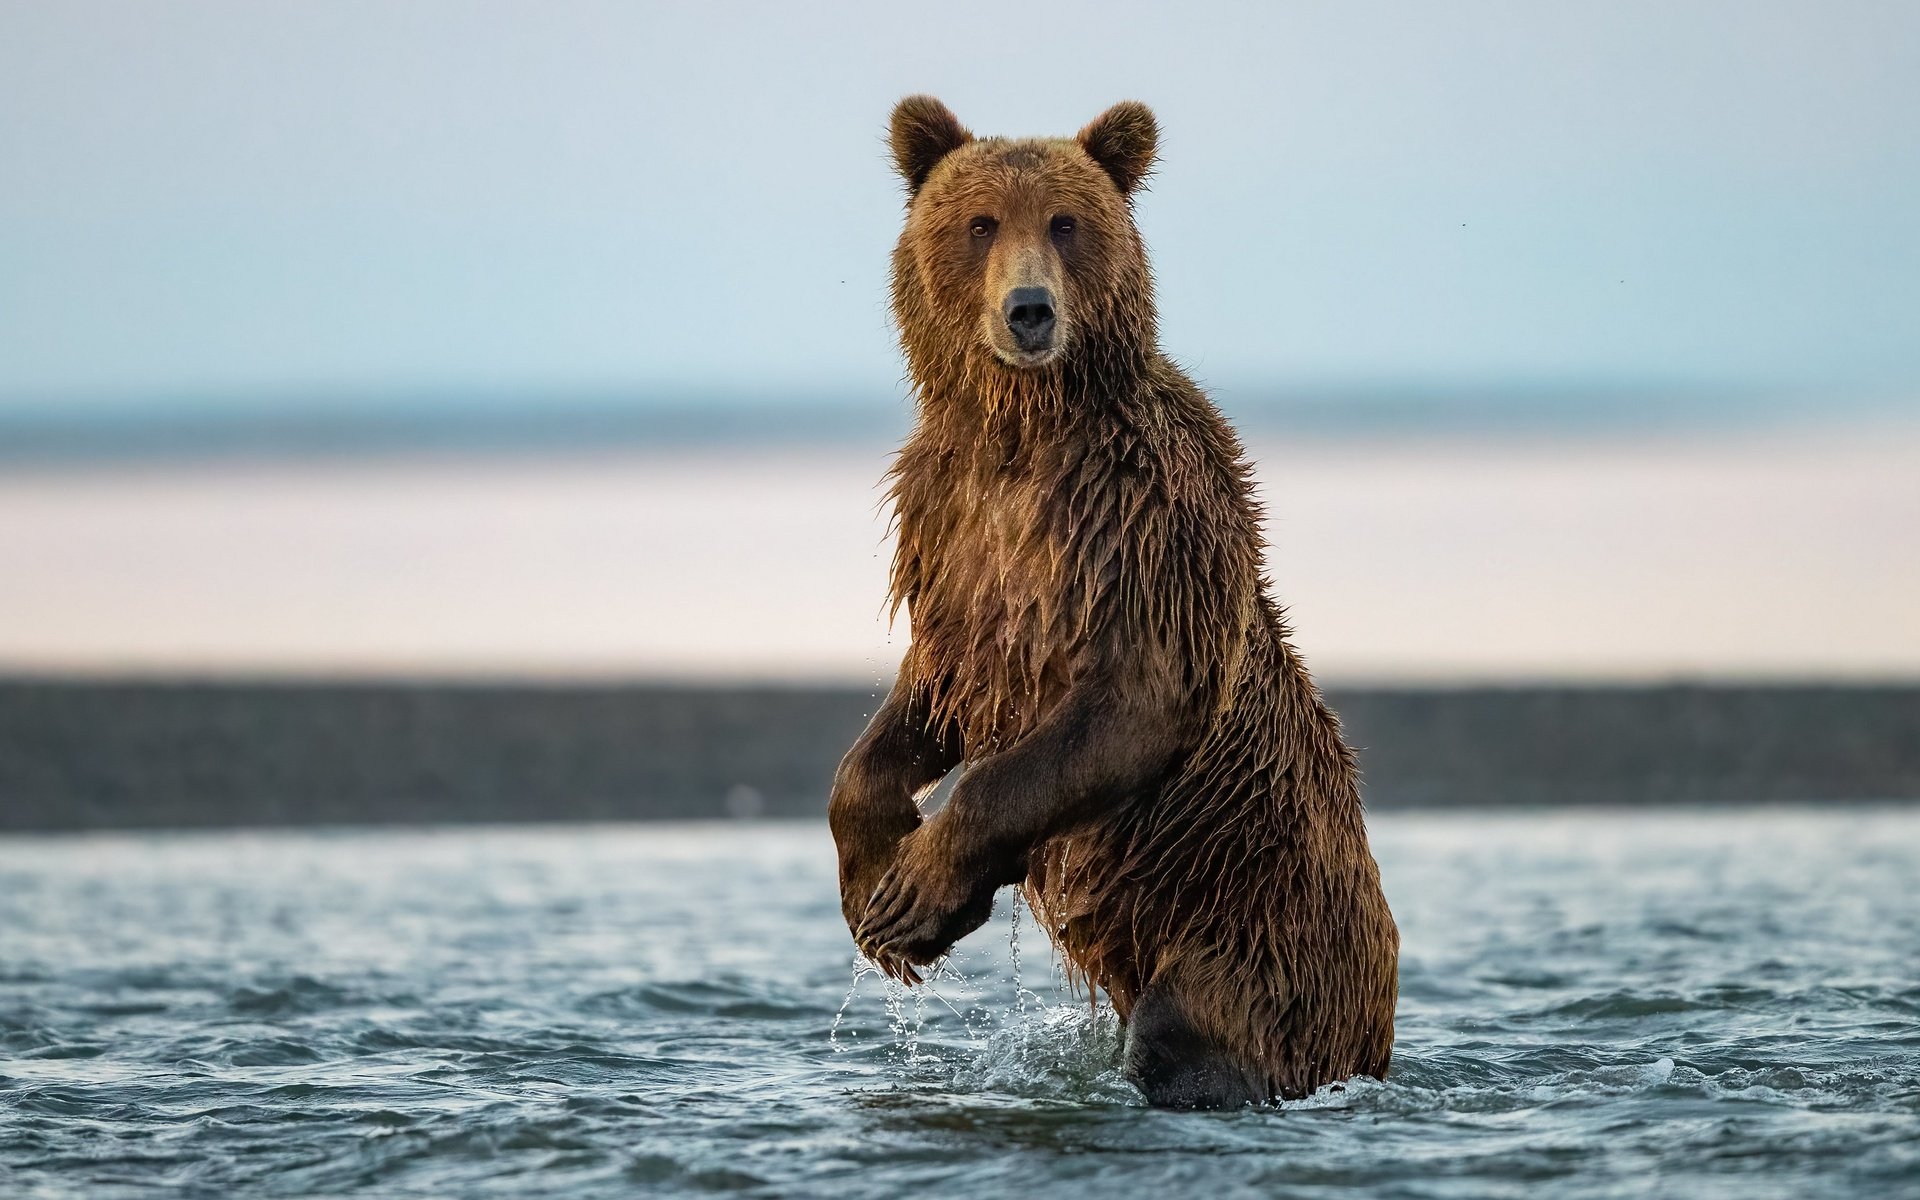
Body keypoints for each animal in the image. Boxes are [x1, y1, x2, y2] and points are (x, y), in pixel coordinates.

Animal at [825, 98, 1397, 1105]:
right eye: (980, 224)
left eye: (1065, 223)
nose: (1029, 310)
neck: (1022, 435)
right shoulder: (953, 543)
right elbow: (924, 699)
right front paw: (874, 890)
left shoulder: (1139, 528)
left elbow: (1129, 703)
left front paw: (920, 891)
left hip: (1253, 930)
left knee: (1190, 1031)